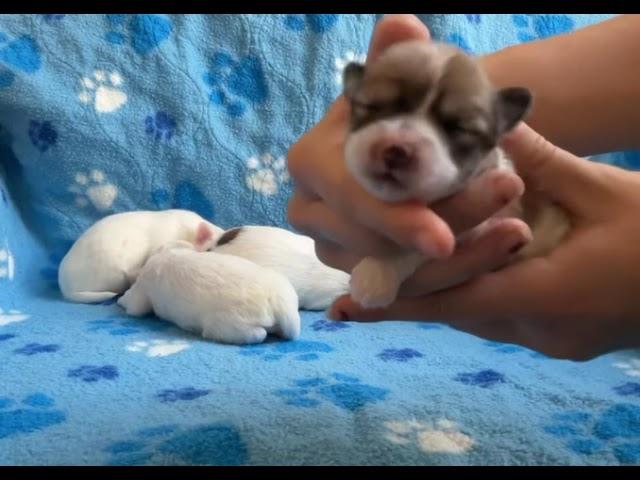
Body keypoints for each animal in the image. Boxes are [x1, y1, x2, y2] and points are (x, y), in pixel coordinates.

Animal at [117, 227, 300, 344]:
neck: (171, 253)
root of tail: (279, 303)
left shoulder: (142, 290)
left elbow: (134, 305)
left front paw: (121, 300)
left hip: (228, 325)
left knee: (257, 334)